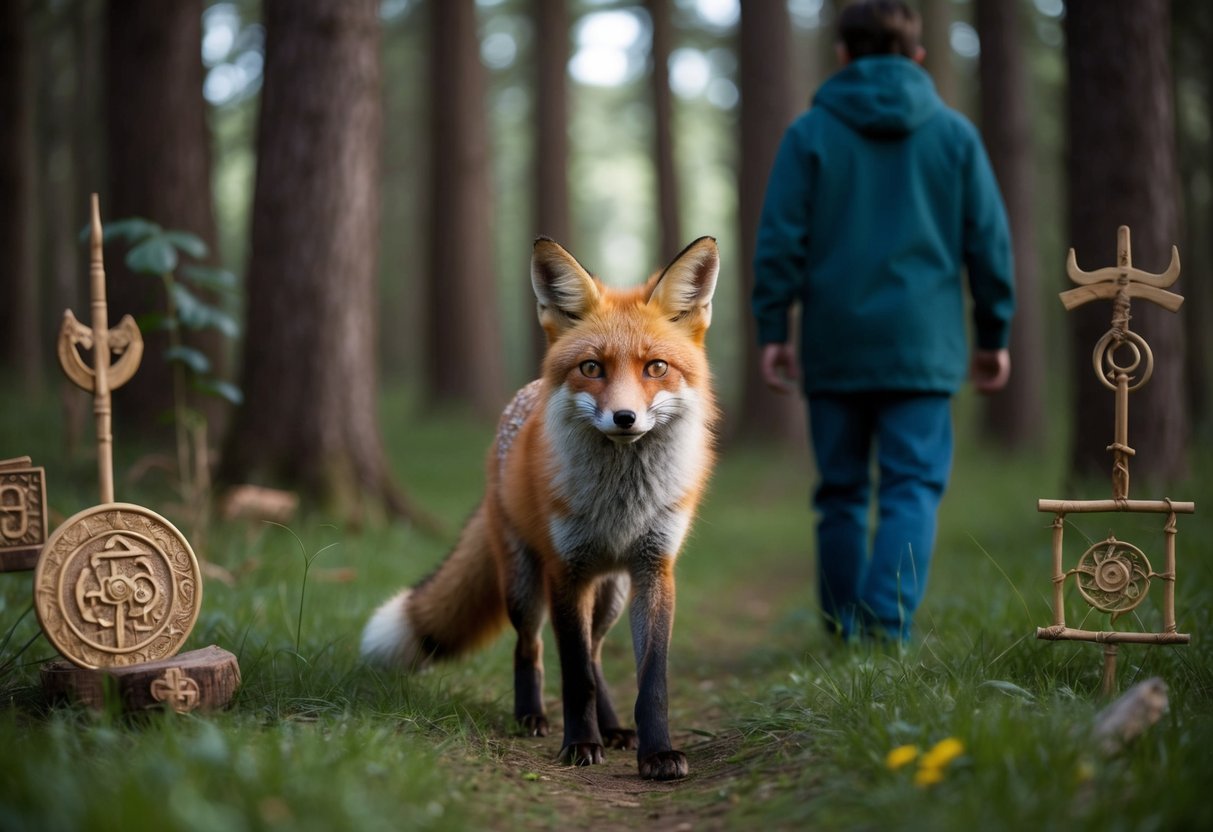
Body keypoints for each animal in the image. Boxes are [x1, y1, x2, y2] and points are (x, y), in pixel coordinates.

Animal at [361, 236, 720, 780]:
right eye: (591, 368)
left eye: (655, 367)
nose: (625, 417)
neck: (621, 504)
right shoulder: (565, 570)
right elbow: (573, 675)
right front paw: (579, 745)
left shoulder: (655, 569)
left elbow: (649, 681)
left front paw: (657, 752)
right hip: (526, 584)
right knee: (530, 647)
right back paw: (532, 716)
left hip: (611, 593)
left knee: (597, 654)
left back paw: (614, 728)